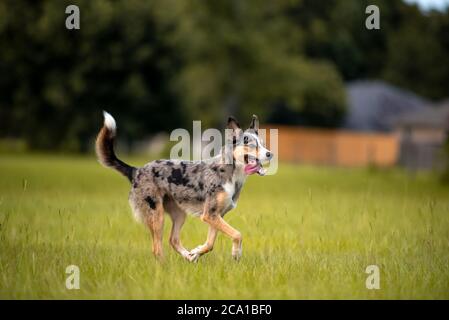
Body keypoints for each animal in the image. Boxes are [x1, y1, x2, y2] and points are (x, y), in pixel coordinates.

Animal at [96, 112, 272, 262]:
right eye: (252, 145)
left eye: (263, 144)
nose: (270, 154)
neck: (230, 171)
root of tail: (136, 170)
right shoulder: (210, 215)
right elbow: (237, 234)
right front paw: (236, 253)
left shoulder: (216, 215)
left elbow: (210, 244)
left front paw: (196, 252)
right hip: (157, 215)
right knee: (157, 248)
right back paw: (165, 267)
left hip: (179, 214)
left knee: (173, 240)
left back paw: (188, 256)